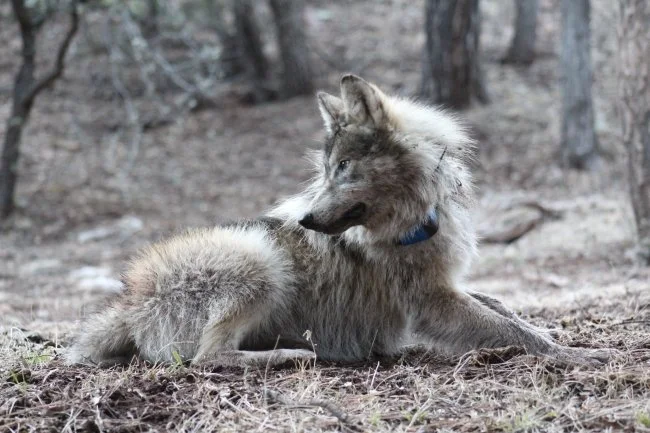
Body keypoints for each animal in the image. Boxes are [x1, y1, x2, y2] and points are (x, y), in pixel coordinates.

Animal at [67, 75, 612, 368]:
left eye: (344, 168)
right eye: (327, 170)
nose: (305, 220)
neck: (414, 221)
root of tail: (127, 302)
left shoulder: (449, 285)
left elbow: (508, 311)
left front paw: (566, 338)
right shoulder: (432, 303)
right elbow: (511, 331)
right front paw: (580, 357)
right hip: (261, 262)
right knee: (209, 358)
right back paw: (290, 355)